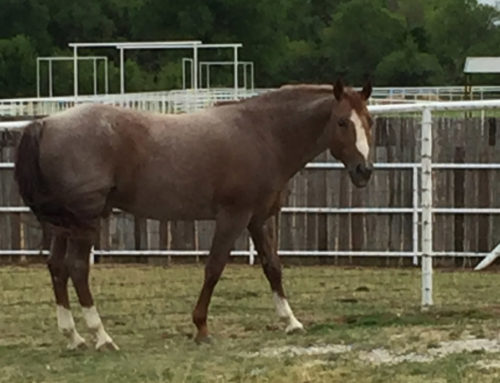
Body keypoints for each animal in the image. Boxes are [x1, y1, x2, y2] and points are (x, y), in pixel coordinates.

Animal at [14, 80, 372, 352]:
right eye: (342, 122)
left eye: (369, 121)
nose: (364, 171)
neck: (264, 134)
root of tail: (47, 123)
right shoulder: (232, 217)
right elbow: (214, 269)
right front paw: (201, 327)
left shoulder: (257, 219)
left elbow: (273, 267)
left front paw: (291, 321)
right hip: (85, 222)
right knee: (77, 269)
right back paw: (102, 337)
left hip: (64, 225)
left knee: (57, 268)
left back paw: (73, 337)